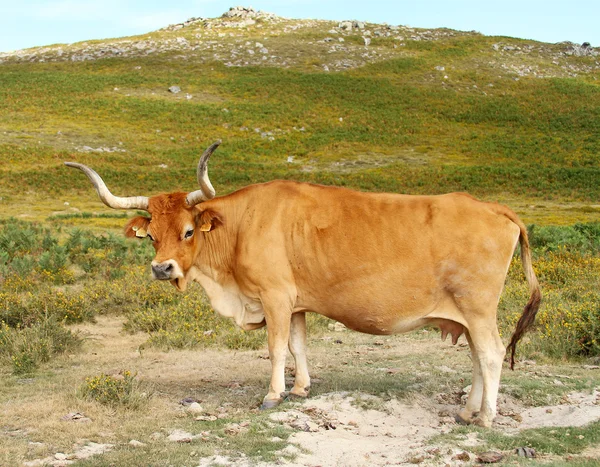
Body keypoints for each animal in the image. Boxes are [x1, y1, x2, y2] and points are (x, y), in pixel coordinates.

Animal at [65, 142, 540, 428]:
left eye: (187, 231)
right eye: (151, 235)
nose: (162, 268)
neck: (241, 227)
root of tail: (492, 207)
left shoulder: (274, 298)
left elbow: (275, 348)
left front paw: (273, 395)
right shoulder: (294, 304)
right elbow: (298, 345)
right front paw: (300, 387)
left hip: (478, 309)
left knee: (491, 355)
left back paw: (486, 417)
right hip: (469, 315)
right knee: (479, 358)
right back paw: (467, 411)